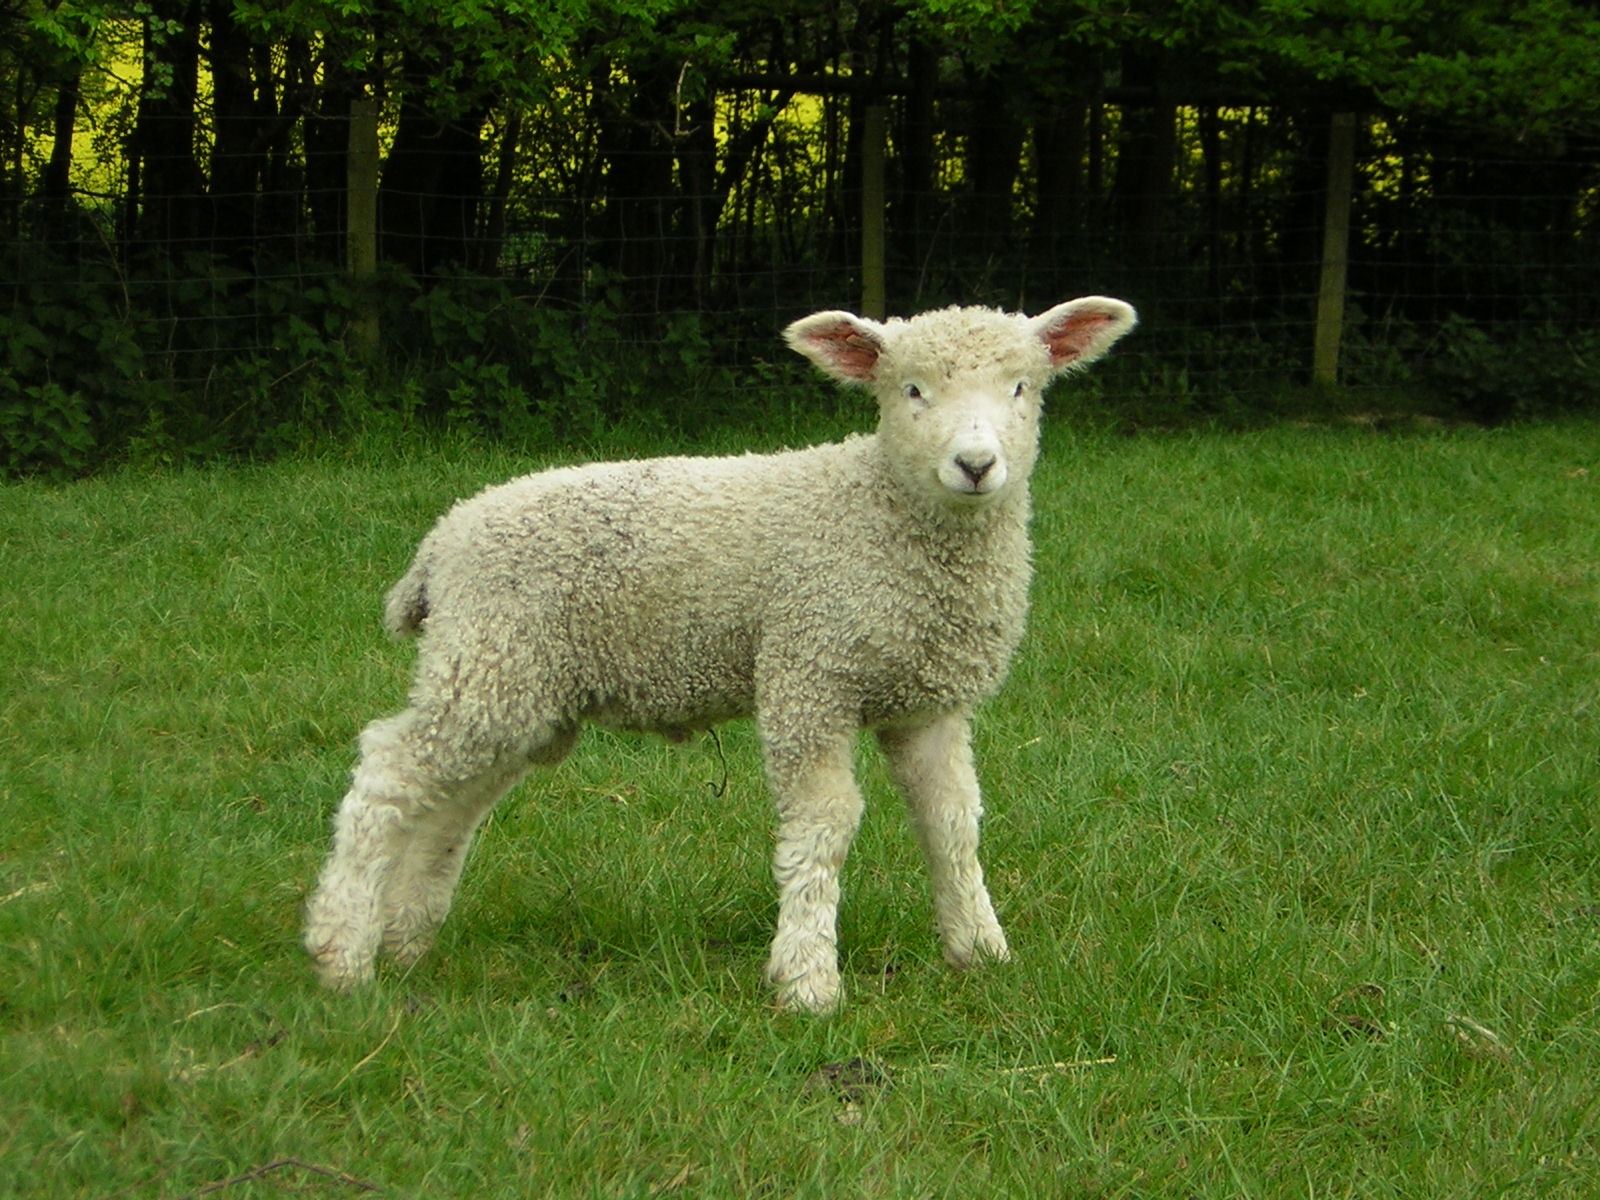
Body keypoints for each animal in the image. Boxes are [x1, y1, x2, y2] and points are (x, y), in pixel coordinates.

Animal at [303, 297, 1137, 1013]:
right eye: (912, 390)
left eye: (1023, 387)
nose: (975, 464)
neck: (883, 516)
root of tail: (442, 541)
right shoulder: (808, 668)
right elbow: (825, 822)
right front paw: (807, 978)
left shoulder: (930, 701)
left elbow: (953, 821)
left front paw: (979, 951)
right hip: (489, 659)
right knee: (388, 774)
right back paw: (342, 953)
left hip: (518, 686)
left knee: (452, 805)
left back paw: (403, 939)